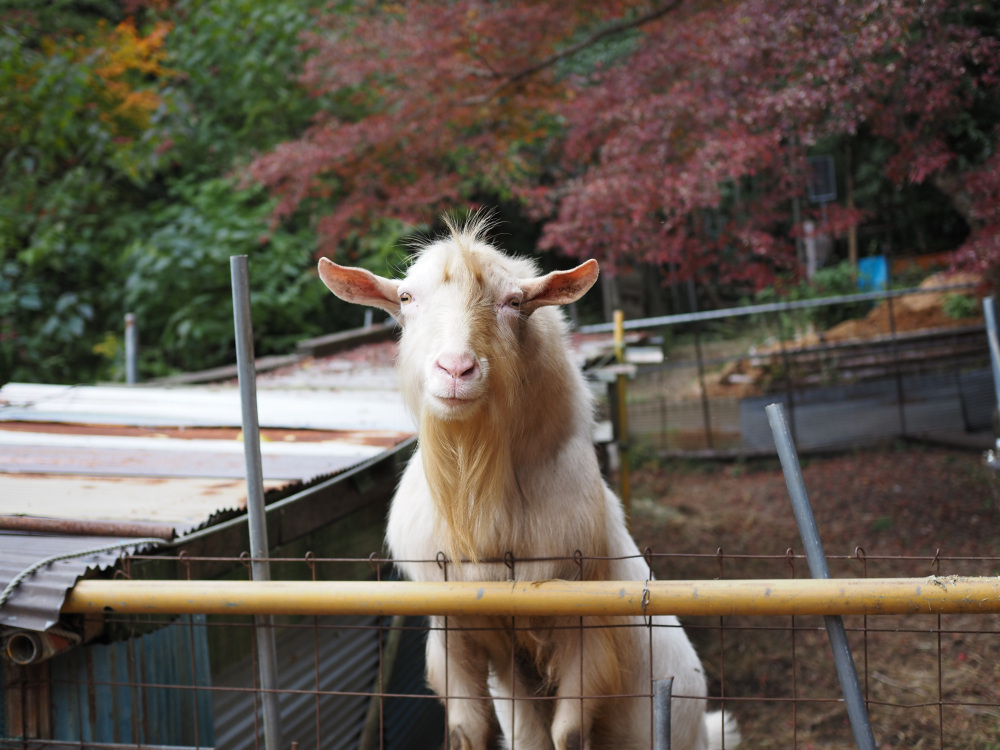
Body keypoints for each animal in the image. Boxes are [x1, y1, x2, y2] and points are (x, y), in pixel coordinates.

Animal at [318, 214, 738, 750]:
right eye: (407, 298)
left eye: (514, 302)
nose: (455, 369)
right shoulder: (452, 627)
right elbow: (466, 729)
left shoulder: (584, 631)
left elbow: (569, 733)